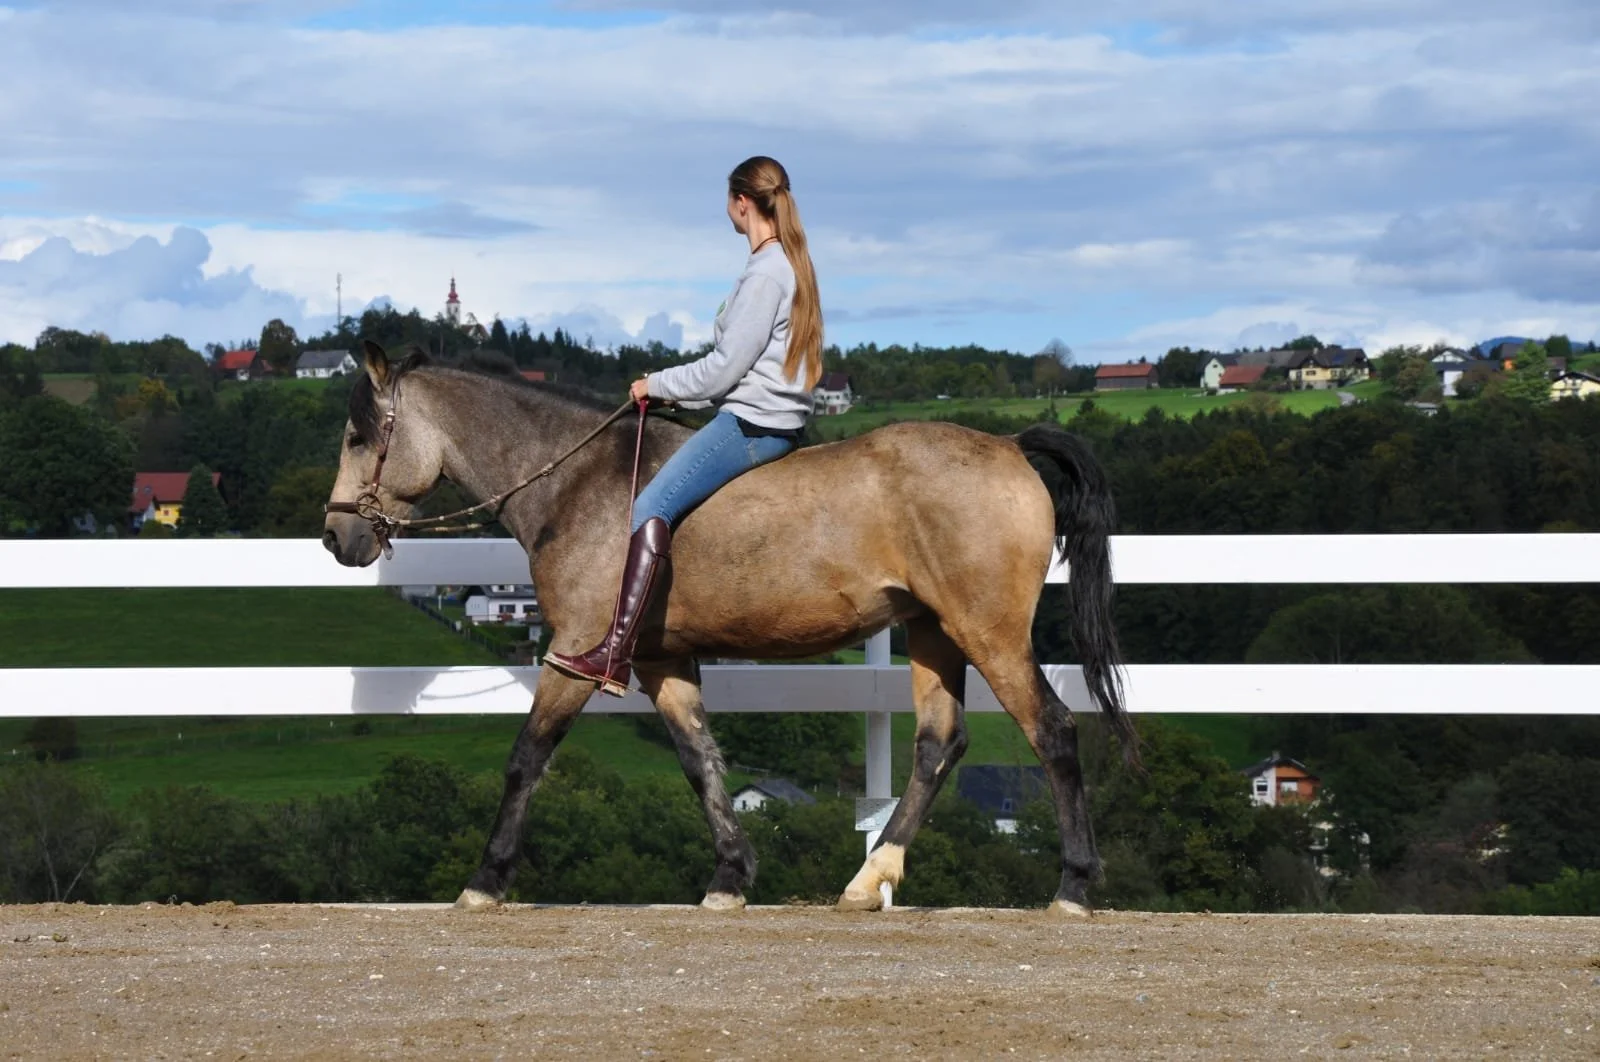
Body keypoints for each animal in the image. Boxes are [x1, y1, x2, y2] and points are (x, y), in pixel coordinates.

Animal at [322, 341, 1139, 915]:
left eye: (360, 436)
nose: (337, 538)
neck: (578, 481)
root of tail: (1009, 447)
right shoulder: (662, 661)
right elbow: (699, 761)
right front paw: (730, 876)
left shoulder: (574, 652)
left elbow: (528, 758)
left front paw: (486, 879)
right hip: (935, 633)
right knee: (940, 744)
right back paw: (867, 878)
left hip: (987, 631)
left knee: (1054, 732)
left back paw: (1072, 887)